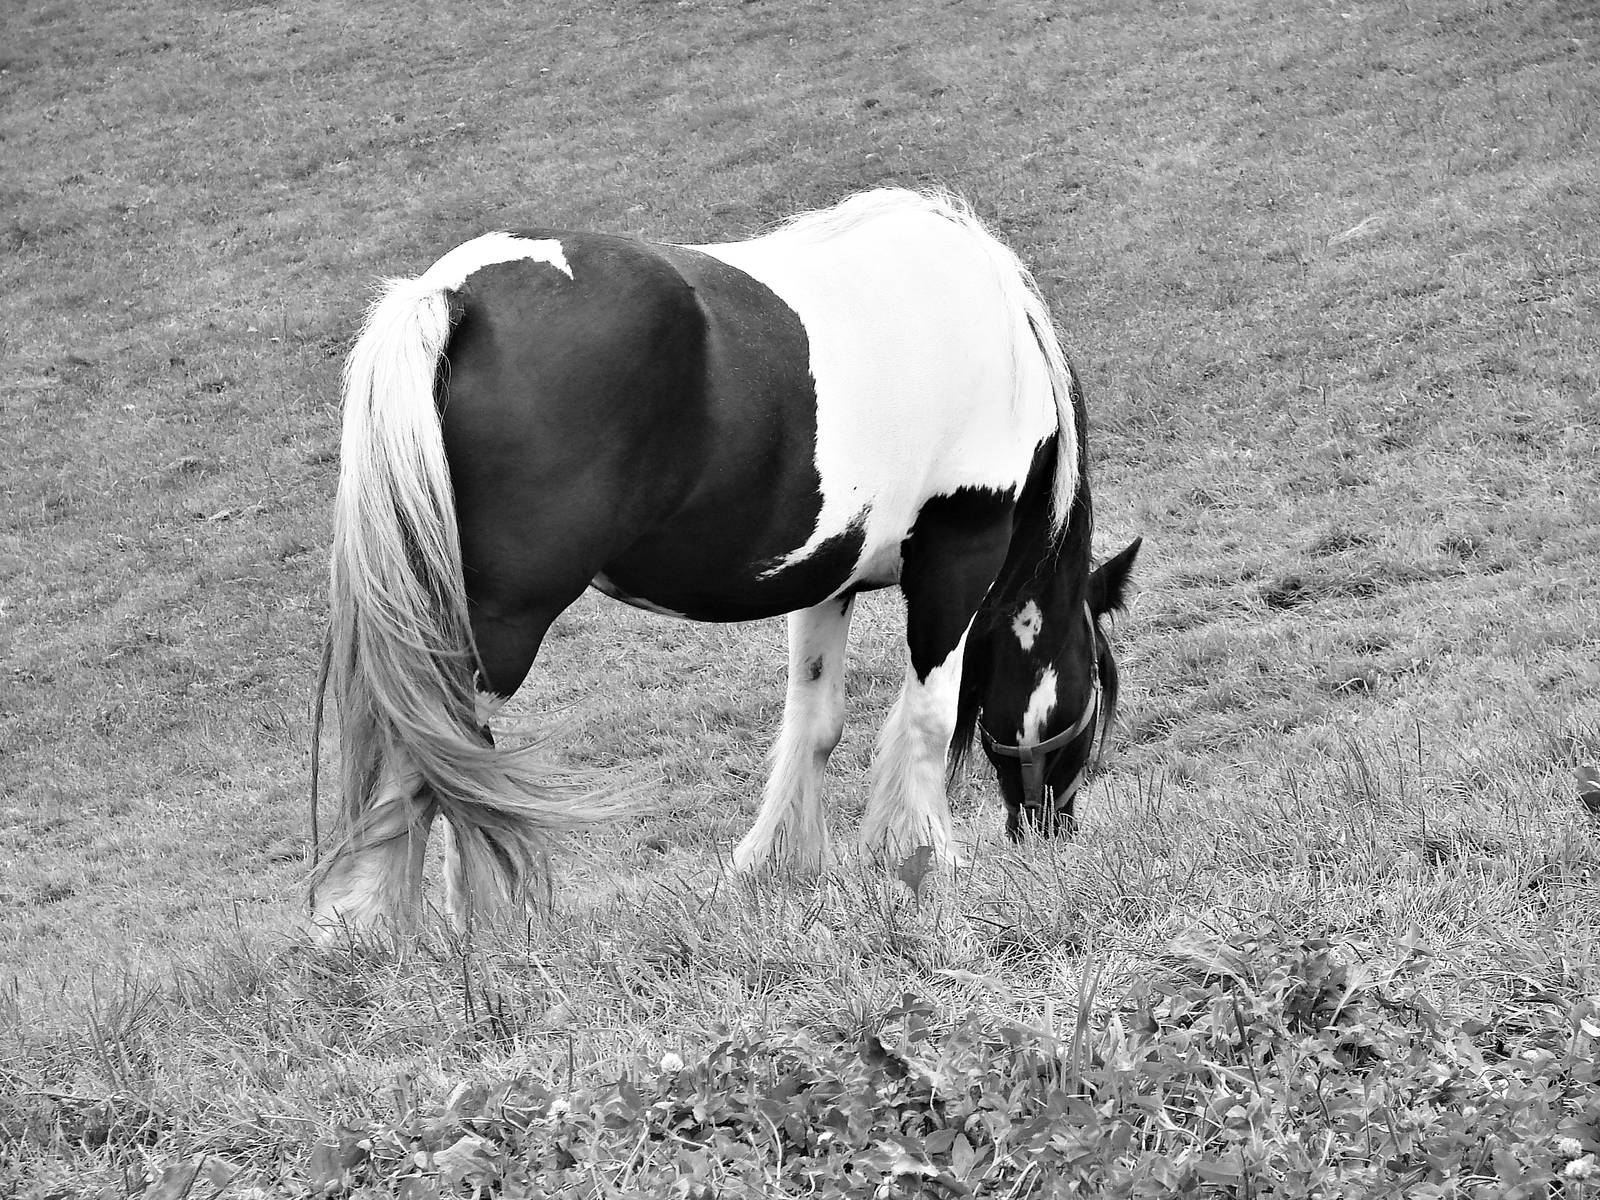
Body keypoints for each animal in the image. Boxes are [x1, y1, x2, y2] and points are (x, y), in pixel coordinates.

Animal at [315, 188, 1140, 932]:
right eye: (1096, 683)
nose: (1054, 830)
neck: (989, 328)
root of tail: (452, 298)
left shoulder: (826, 576)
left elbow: (817, 720)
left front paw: (774, 868)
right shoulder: (960, 553)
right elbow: (928, 718)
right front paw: (930, 861)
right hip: (500, 625)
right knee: (436, 760)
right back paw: (435, 931)